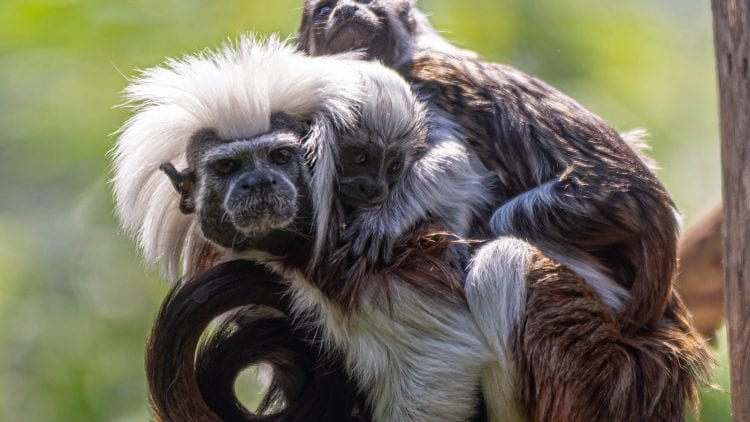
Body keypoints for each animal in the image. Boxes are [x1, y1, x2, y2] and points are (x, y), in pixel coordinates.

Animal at [297, 0, 683, 334]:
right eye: (326, 9)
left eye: (370, 2)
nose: (348, 9)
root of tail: (659, 207)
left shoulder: (418, 87)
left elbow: (457, 162)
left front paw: (384, 220)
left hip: (604, 201)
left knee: (506, 220)